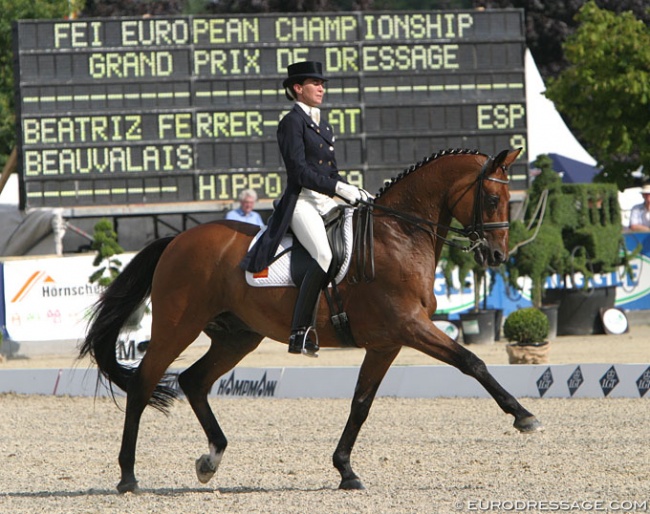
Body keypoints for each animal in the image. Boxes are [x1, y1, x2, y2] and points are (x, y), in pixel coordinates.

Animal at [78, 146, 540, 490]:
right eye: (492, 199)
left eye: (506, 199)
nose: (496, 255)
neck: (400, 235)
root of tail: (177, 239)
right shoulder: (410, 327)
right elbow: (472, 362)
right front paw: (523, 417)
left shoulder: (386, 342)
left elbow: (361, 404)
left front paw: (346, 470)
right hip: (178, 326)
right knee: (144, 383)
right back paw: (128, 477)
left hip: (237, 336)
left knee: (193, 380)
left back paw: (211, 459)